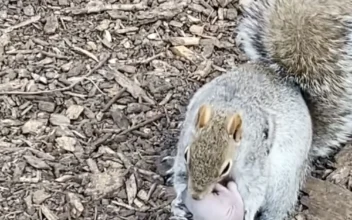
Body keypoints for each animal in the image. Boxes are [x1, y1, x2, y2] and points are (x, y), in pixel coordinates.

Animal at [166, 0, 352, 220]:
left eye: (226, 167)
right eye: (187, 155)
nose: (195, 196)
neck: (225, 110)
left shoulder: (253, 161)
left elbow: (254, 189)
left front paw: (247, 211)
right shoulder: (186, 136)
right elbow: (180, 173)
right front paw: (178, 200)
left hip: (283, 178)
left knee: (278, 205)